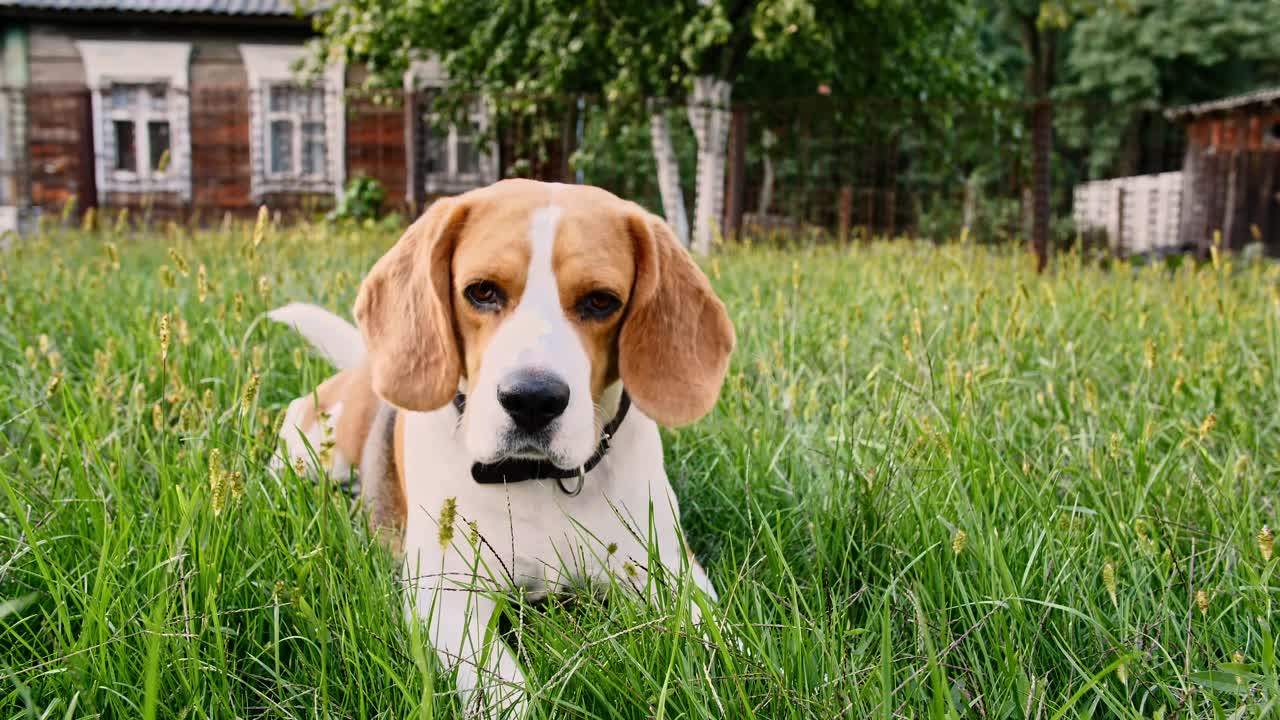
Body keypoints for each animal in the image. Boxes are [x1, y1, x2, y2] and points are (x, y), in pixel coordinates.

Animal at [270, 178, 732, 712]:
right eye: (482, 292)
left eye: (601, 301)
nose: (532, 400)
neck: (538, 480)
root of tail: (366, 365)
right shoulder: (446, 595)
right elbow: (503, 686)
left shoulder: (671, 573)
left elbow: (728, 644)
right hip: (315, 448)